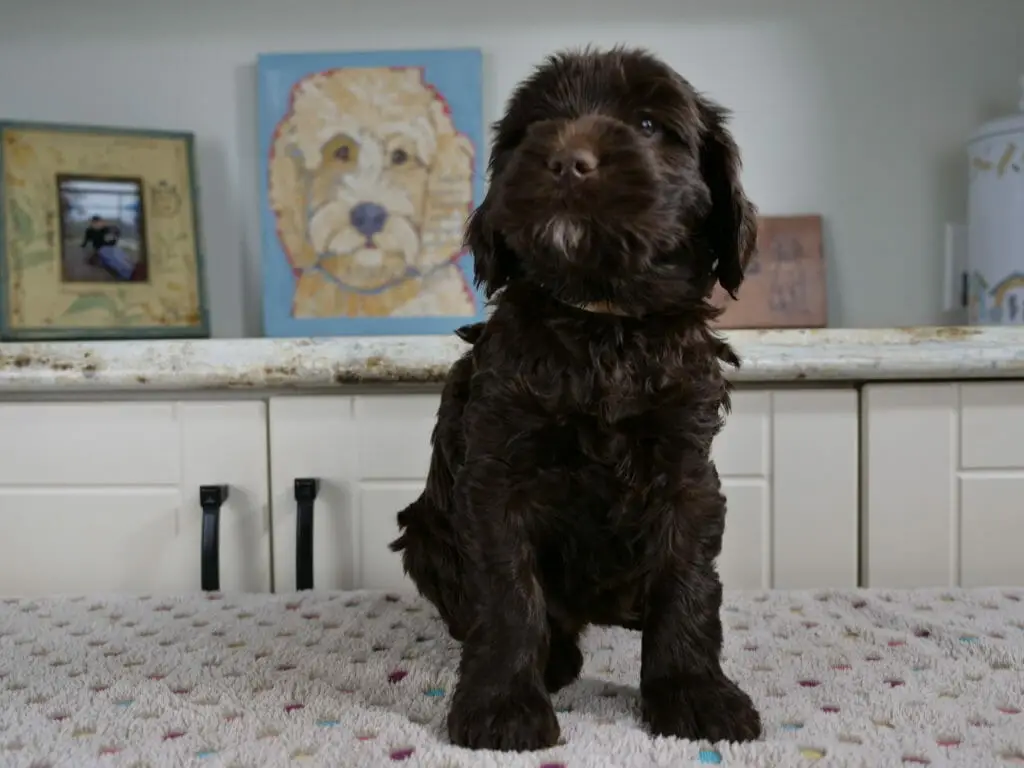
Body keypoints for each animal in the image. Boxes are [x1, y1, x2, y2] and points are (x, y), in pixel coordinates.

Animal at [389, 46, 761, 753]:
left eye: (648, 124)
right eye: (535, 127)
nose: (567, 161)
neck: (602, 323)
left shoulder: (687, 470)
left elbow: (689, 582)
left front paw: (694, 694)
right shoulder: (497, 473)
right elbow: (508, 593)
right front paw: (502, 706)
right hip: (425, 530)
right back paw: (555, 662)